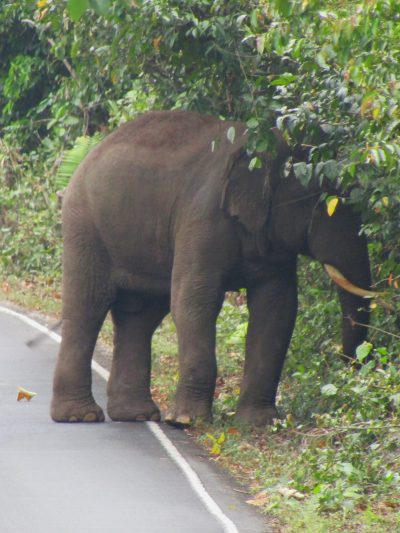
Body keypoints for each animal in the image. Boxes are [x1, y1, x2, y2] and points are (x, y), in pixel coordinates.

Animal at [51, 110, 374, 426]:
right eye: (325, 203)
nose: (350, 366)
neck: (269, 143)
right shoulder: (203, 218)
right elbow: (195, 302)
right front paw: (186, 421)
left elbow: (277, 309)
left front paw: (258, 423)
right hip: (84, 227)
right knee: (89, 307)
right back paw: (80, 416)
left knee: (140, 315)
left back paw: (137, 415)